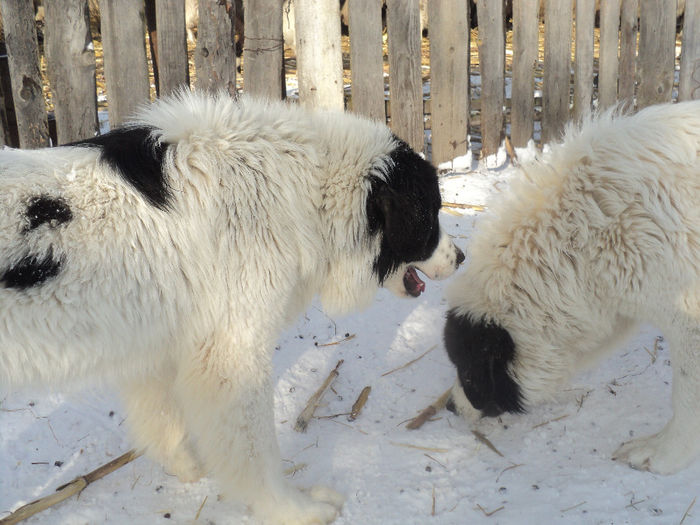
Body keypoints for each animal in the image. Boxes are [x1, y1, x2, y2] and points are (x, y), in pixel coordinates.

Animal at [1, 91, 464, 524]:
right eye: (430, 217)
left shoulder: (160, 346)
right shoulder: (231, 355)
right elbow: (256, 453)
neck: (299, 192)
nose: (460, 257)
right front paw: (292, 509)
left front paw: (190, 468)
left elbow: (165, 422)